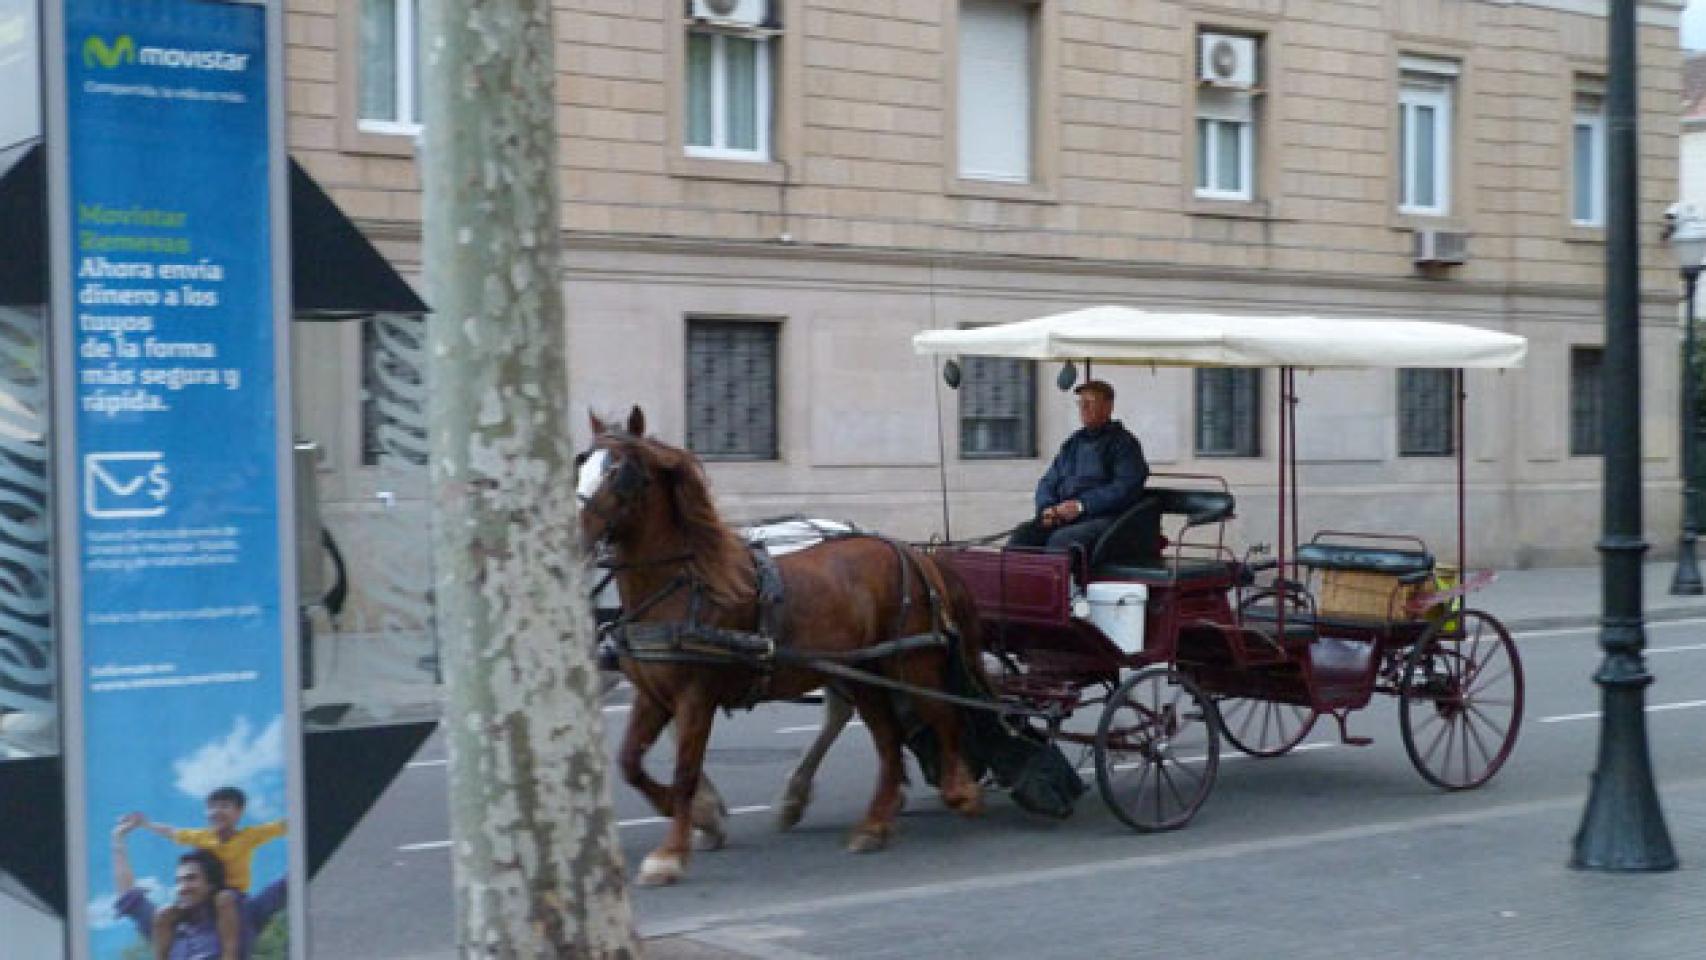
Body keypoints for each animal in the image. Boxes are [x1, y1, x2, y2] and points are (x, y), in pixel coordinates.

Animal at [578, 407, 985, 886]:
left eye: (619, 472)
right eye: (581, 463)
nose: (573, 535)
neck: (686, 586)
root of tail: (911, 551)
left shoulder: (696, 695)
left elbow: (684, 771)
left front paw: (675, 849)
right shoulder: (652, 693)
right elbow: (631, 762)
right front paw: (701, 818)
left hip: (911, 658)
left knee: (939, 712)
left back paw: (956, 790)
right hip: (860, 670)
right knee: (884, 733)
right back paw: (872, 820)